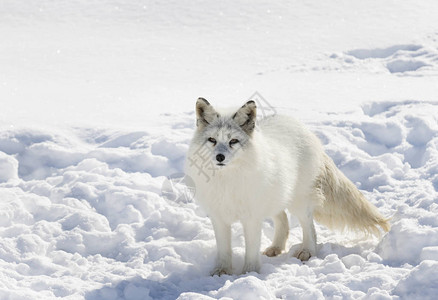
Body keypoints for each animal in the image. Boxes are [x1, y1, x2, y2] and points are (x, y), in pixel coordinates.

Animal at [185, 97, 390, 276]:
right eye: (212, 140)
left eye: (233, 141)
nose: (220, 157)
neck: (227, 182)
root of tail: (301, 127)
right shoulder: (219, 217)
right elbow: (224, 250)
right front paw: (221, 271)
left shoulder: (252, 218)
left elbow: (251, 249)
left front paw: (249, 273)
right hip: (276, 199)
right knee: (283, 219)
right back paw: (276, 247)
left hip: (299, 202)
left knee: (310, 228)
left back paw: (307, 251)